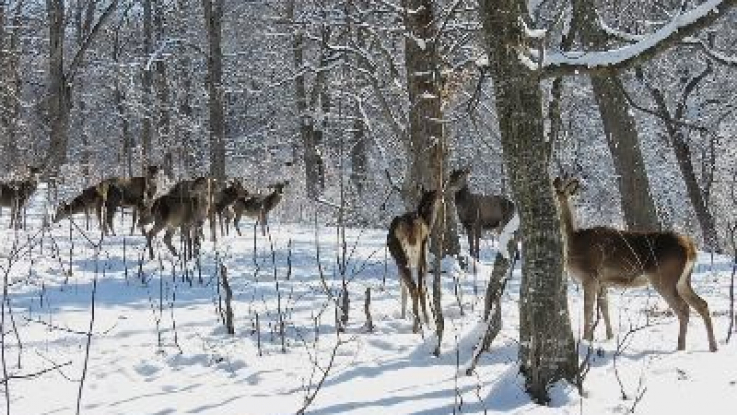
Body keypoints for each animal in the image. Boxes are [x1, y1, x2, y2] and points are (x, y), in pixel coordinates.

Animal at [386, 187, 442, 334]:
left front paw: (402, 316)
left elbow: (403, 288)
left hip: (402, 257)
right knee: (421, 287)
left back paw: (416, 326)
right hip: (422, 254)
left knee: (413, 288)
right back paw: (425, 323)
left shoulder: (401, 264)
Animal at [556, 175, 716, 352]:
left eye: (558, 193)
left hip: (664, 278)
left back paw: (680, 347)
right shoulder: (602, 281)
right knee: (702, 304)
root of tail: (690, 248)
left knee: (683, 308)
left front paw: (586, 340)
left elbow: (588, 310)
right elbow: (604, 309)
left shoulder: (589, 276)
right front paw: (609, 337)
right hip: (683, 280)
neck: (574, 240)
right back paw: (713, 346)